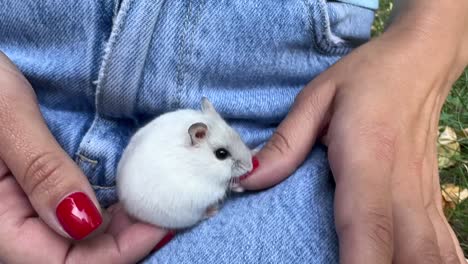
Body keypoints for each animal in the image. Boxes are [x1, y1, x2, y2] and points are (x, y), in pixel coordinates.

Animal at [117, 98, 256, 229]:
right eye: (221, 154)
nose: (250, 167)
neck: (198, 163)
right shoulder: (208, 188)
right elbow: (225, 186)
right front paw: (239, 187)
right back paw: (212, 211)